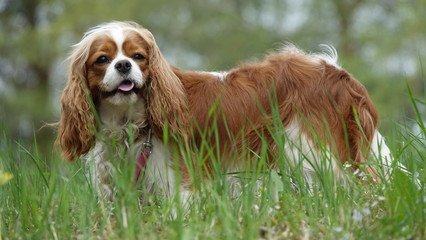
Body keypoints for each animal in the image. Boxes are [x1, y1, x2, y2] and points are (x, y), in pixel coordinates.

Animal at [57, 21, 396, 201]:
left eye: (138, 56)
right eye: (102, 59)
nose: (124, 65)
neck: (131, 120)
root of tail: (336, 71)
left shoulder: (178, 183)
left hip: (321, 152)